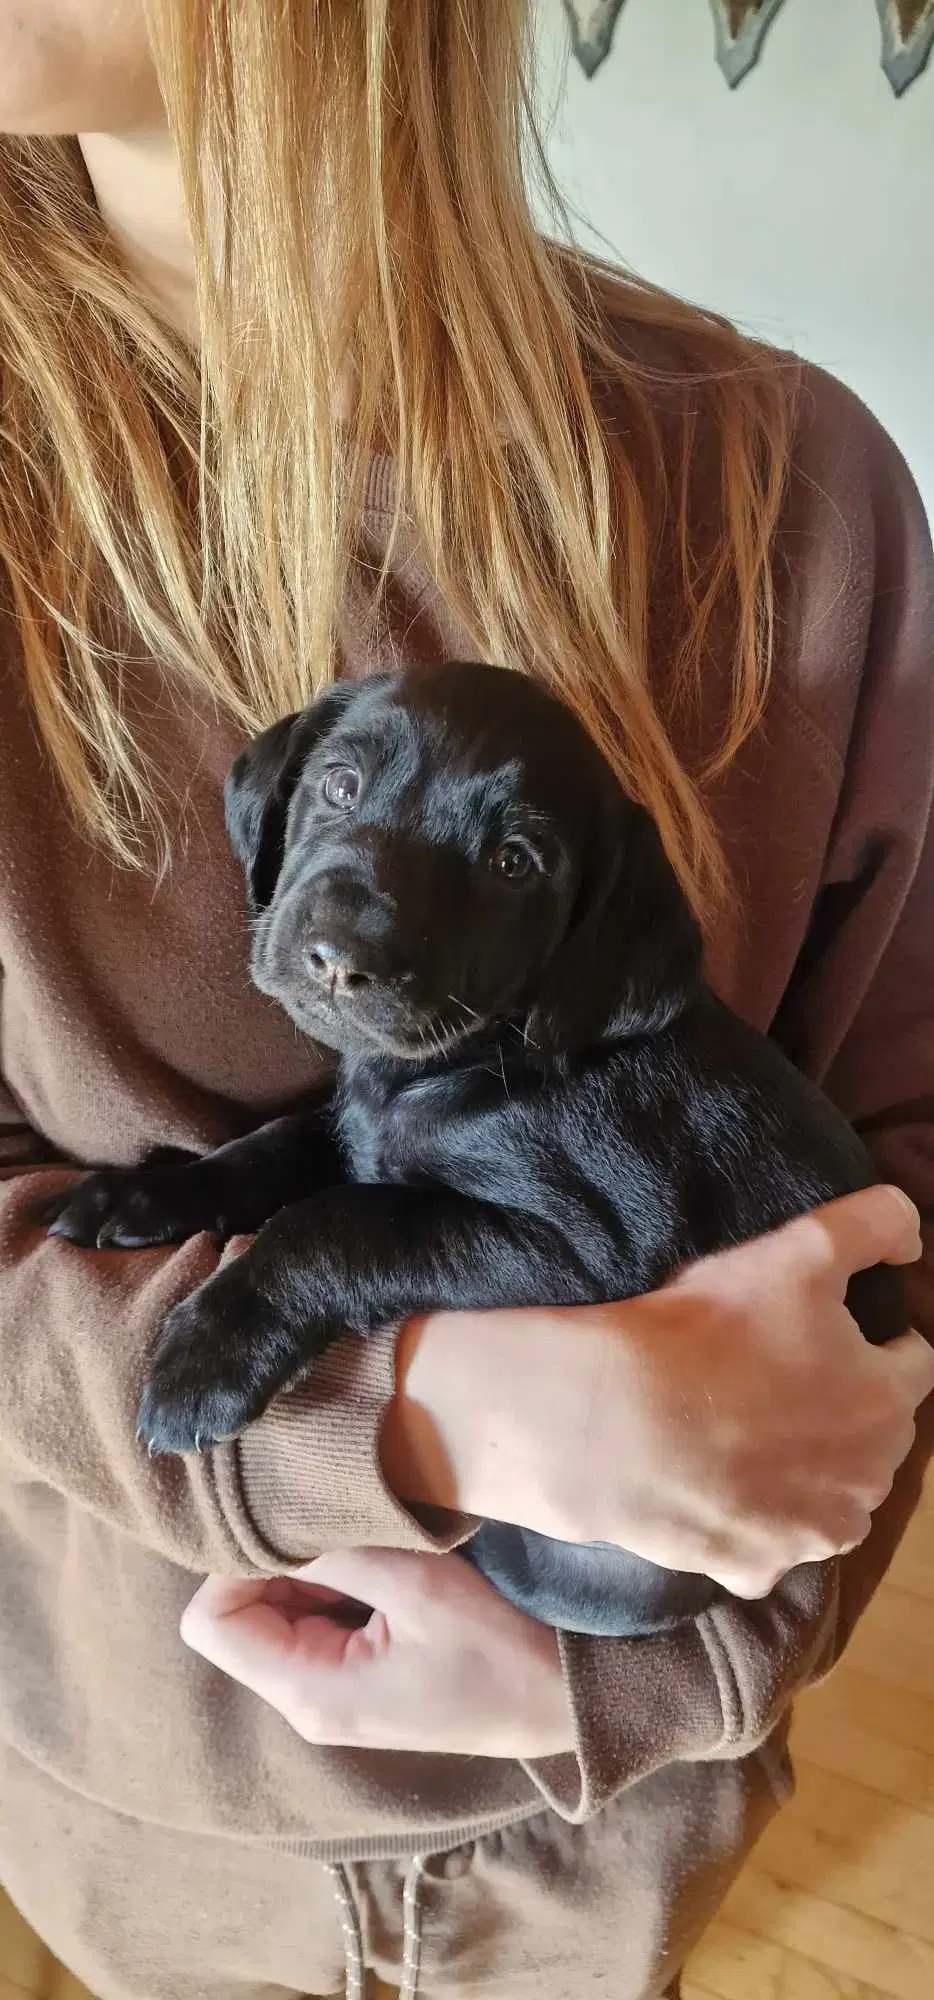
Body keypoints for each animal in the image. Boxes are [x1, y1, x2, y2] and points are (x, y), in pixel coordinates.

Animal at [47, 664, 912, 1632]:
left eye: (514, 864)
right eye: (339, 786)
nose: (338, 957)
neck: (465, 1060)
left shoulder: (579, 1241)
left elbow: (338, 1221)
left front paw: (208, 1354)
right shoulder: (351, 1126)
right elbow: (272, 1149)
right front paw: (139, 1196)